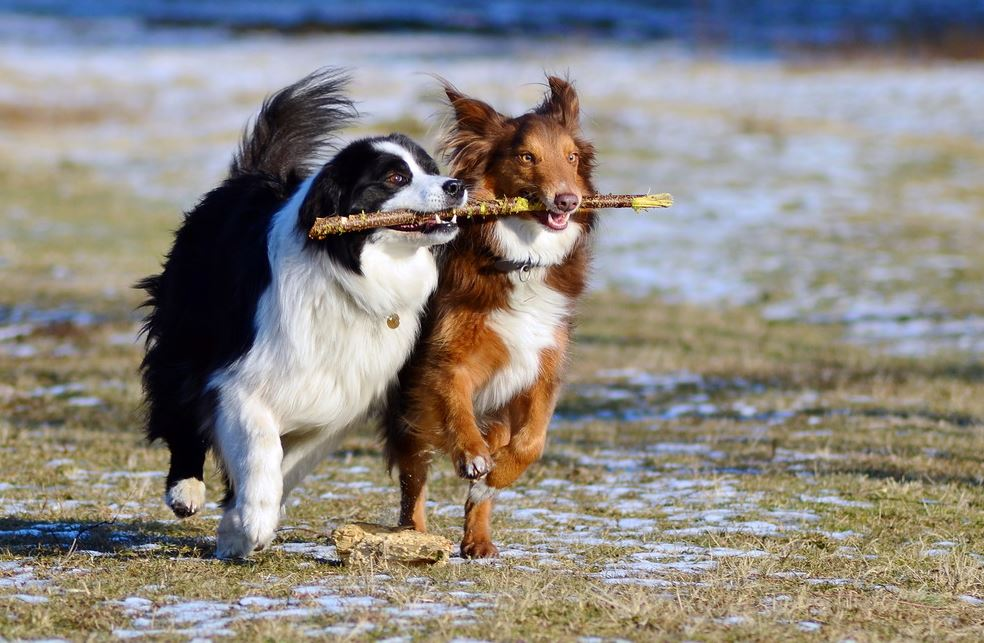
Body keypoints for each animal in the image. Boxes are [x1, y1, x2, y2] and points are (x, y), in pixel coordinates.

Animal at [138, 69, 466, 560]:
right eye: (394, 177)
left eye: (430, 167)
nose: (456, 186)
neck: (344, 268)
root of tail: (249, 176)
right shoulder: (240, 378)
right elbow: (262, 449)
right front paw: (252, 523)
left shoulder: (340, 395)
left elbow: (289, 462)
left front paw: (237, 527)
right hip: (187, 332)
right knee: (177, 404)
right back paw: (185, 490)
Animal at [384, 76, 596, 560]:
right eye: (526, 157)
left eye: (571, 158)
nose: (568, 200)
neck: (522, 260)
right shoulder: (445, 362)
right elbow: (459, 411)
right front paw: (472, 457)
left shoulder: (542, 367)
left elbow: (532, 443)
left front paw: (492, 479)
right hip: (410, 407)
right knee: (413, 477)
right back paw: (413, 535)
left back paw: (478, 540)